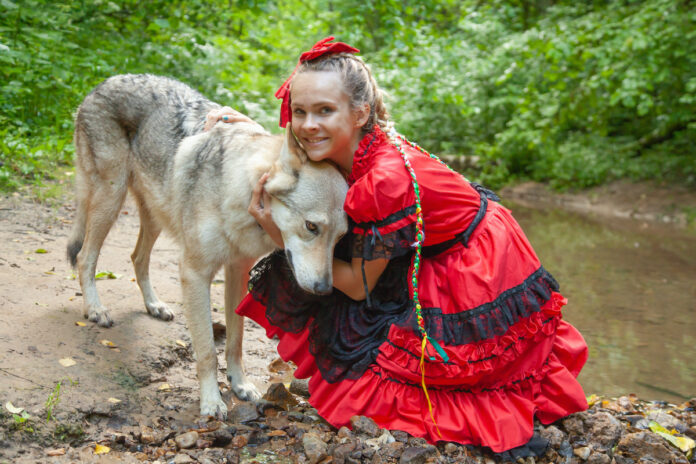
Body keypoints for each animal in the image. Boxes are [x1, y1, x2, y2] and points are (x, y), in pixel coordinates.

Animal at [66, 74, 348, 418]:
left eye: (341, 238)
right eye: (312, 227)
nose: (324, 289)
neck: (236, 189)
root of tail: (103, 82)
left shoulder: (237, 272)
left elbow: (236, 341)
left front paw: (241, 385)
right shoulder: (195, 274)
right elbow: (206, 351)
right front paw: (212, 402)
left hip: (154, 215)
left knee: (137, 258)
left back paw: (154, 305)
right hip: (111, 199)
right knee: (85, 257)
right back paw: (95, 309)